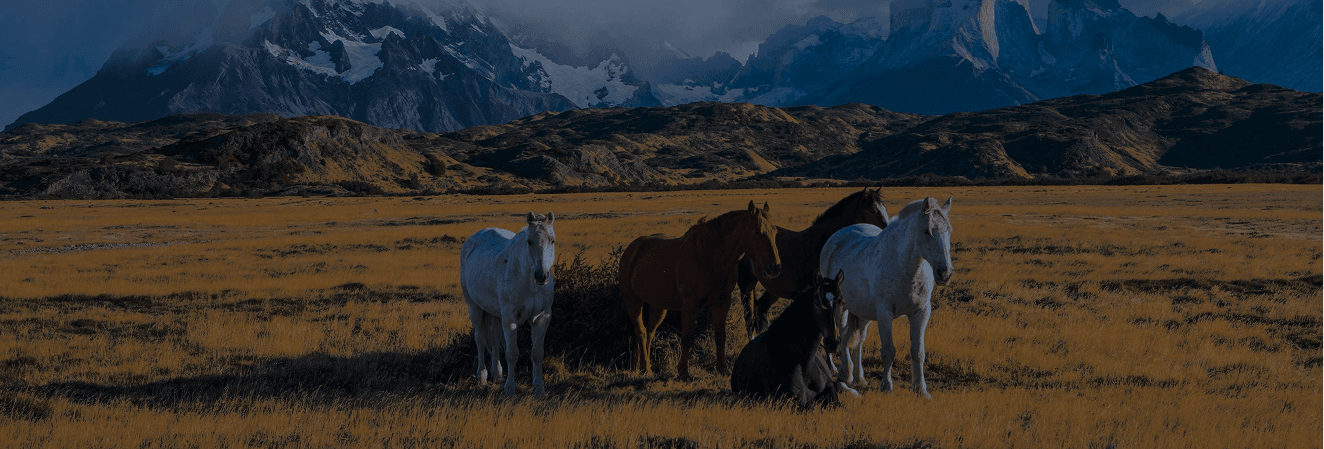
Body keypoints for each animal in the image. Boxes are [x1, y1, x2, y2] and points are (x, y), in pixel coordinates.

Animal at [459, 212, 557, 396]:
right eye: (529, 241)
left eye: (552, 240)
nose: (541, 276)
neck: (529, 283)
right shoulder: (510, 318)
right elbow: (512, 353)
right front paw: (510, 389)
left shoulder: (542, 317)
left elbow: (537, 353)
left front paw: (539, 389)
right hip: (475, 308)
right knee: (480, 340)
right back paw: (482, 377)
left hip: (496, 314)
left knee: (495, 339)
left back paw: (497, 374)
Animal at [619, 201, 782, 380]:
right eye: (757, 231)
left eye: (774, 231)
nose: (774, 267)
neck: (710, 256)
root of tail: (632, 248)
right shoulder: (691, 305)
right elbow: (687, 337)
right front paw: (683, 372)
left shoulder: (721, 303)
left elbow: (720, 335)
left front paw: (722, 369)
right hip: (632, 301)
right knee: (640, 331)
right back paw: (645, 368)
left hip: (658, 307)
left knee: (649, 332)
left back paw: (640, 367)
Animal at [730, 270, 854, 409]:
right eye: (817, 303)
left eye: (842, 302)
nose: (833, 342)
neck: (804, 366)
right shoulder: (795, 401)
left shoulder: (830, 391)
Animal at [735, 188, 890, 338]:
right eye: (871, 210)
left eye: (884, 209)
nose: (886, 232)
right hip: (747, 285)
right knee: (749, 319)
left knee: (760, 309)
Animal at [820, 197, 953, 399]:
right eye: (926, 231)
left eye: (949, 231)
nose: (944, 273)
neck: (906, 268)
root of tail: (836, 237)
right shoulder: (885, 314)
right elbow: (888, 351)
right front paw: (887, 386)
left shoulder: (921, 312)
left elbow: (918, 351)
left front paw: (920, 389)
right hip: (840, 307)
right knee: (843, 335)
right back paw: (845, 372)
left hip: (863, 311)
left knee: (858, 340)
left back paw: (859, 377)